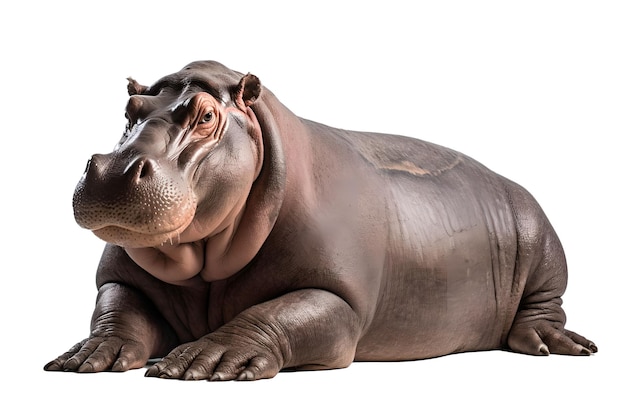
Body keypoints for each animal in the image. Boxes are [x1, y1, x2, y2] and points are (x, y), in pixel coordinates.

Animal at [44, 59, 596, 380]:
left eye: (205, 116)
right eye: (130, 109)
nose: (113, 172)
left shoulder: (339, 298)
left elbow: (276, 313)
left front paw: (208, 360)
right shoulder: (118, 279)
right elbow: (117, 309)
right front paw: (84, 355)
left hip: (542, 243)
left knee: (545, 306)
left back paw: (552, 346)